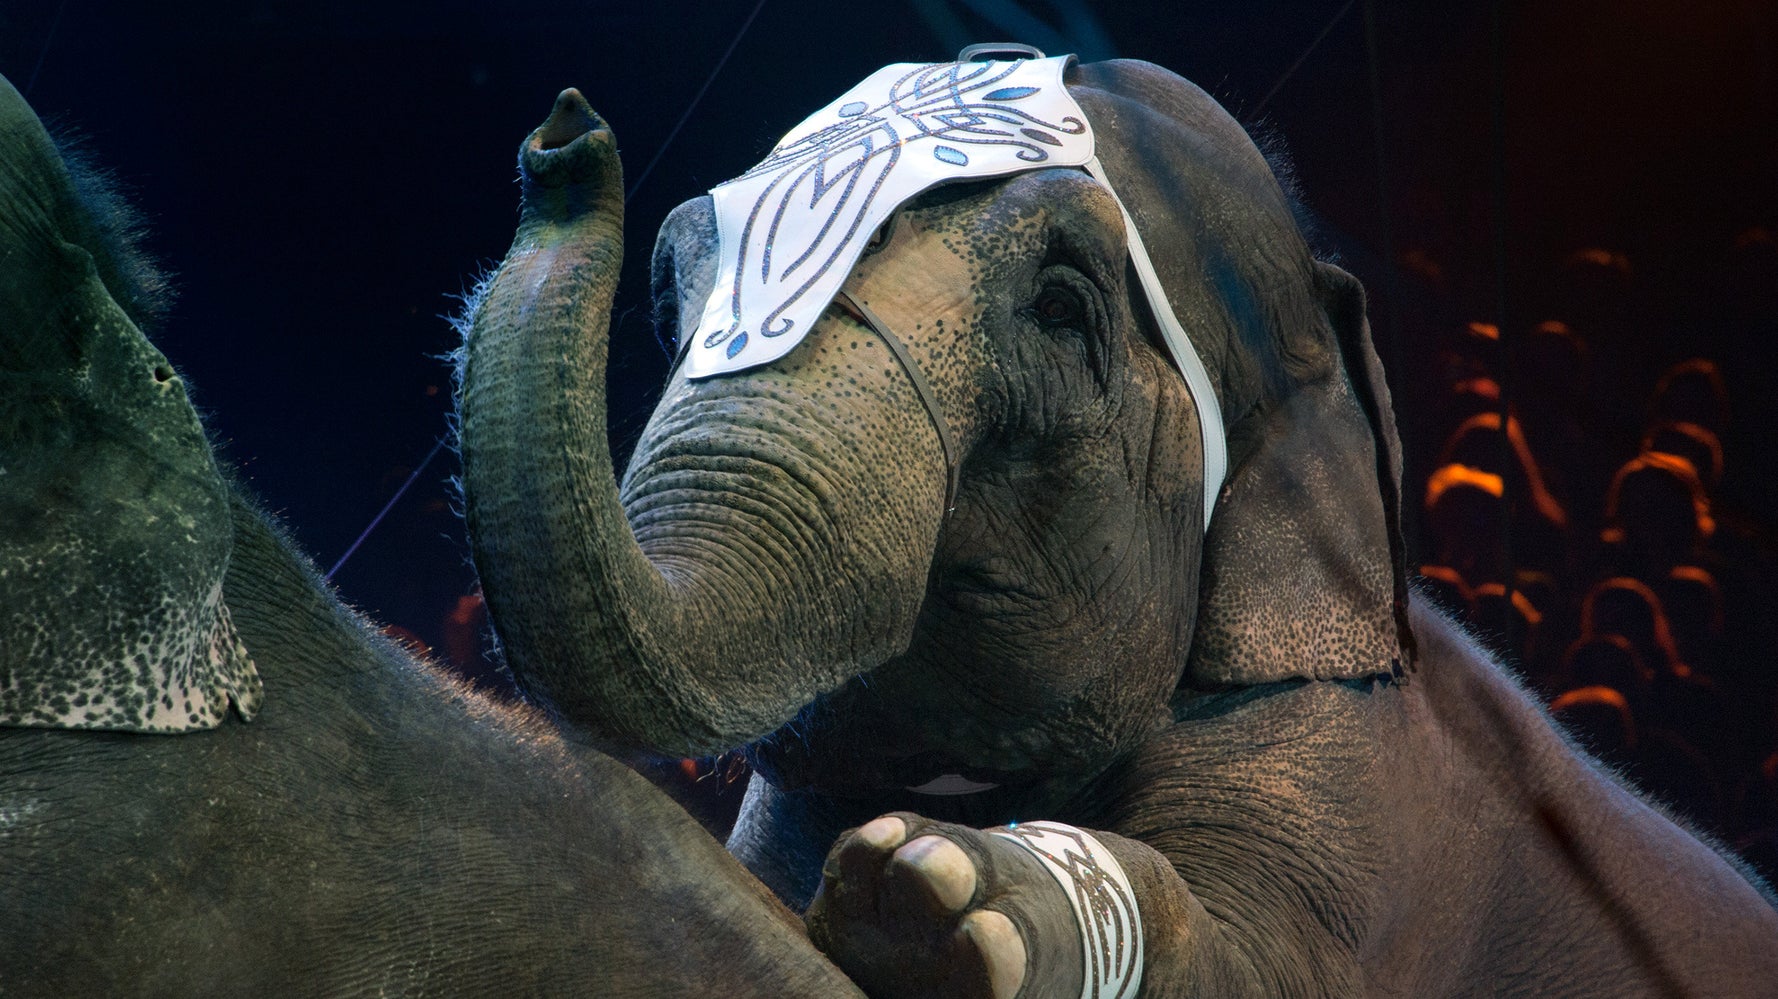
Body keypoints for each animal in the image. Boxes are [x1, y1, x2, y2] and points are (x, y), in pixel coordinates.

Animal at [454, 53, 1778, 997]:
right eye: (673, 298)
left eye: (1057, 306)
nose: (561, 139)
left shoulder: (1356, 774)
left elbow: (1264, 971)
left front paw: (936, 898)